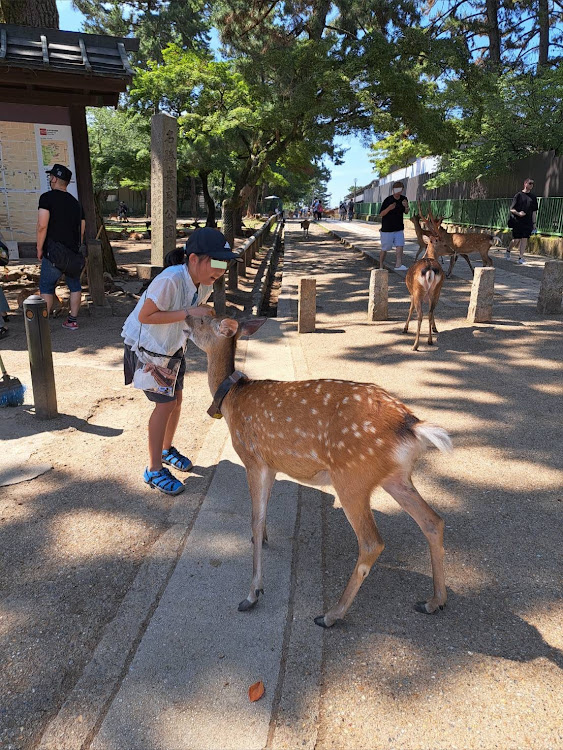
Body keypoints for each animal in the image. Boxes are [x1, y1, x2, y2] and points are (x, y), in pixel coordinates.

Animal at [185, 314, 454, 632]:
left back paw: (330, 615)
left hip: (351, 478)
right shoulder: (272, 464)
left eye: (203, 318)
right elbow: (263, 513)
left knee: (372, 542)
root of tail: (413, 426)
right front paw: (262, 540)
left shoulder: (253, 459)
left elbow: (254, 519)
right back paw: (434, 601)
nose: (184, 317)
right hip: (396, 478)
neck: (231, 402)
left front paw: (252, 594)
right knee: (433, 521)